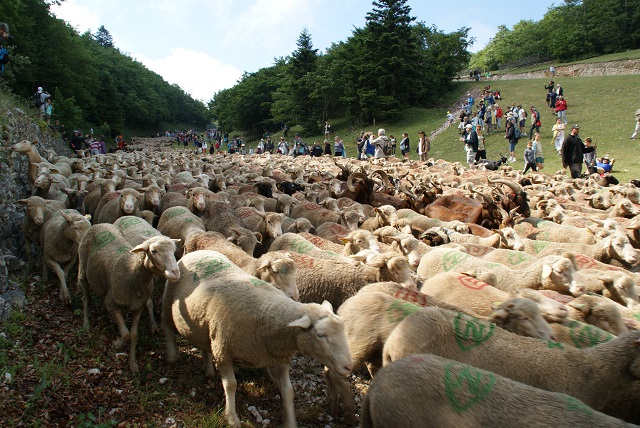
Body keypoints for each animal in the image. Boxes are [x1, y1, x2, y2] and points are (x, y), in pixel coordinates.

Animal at [79, 224, 181, 374]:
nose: (176, 272)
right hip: (82, 269)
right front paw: (117, 344)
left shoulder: (138, 306)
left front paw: (132, 363)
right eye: (153, 251)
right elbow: (126, 334)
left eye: (174, 250)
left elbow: (133, 334)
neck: (132, 273)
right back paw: (85, 324)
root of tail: (99, 224)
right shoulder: (113, 304)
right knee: (85, 297)